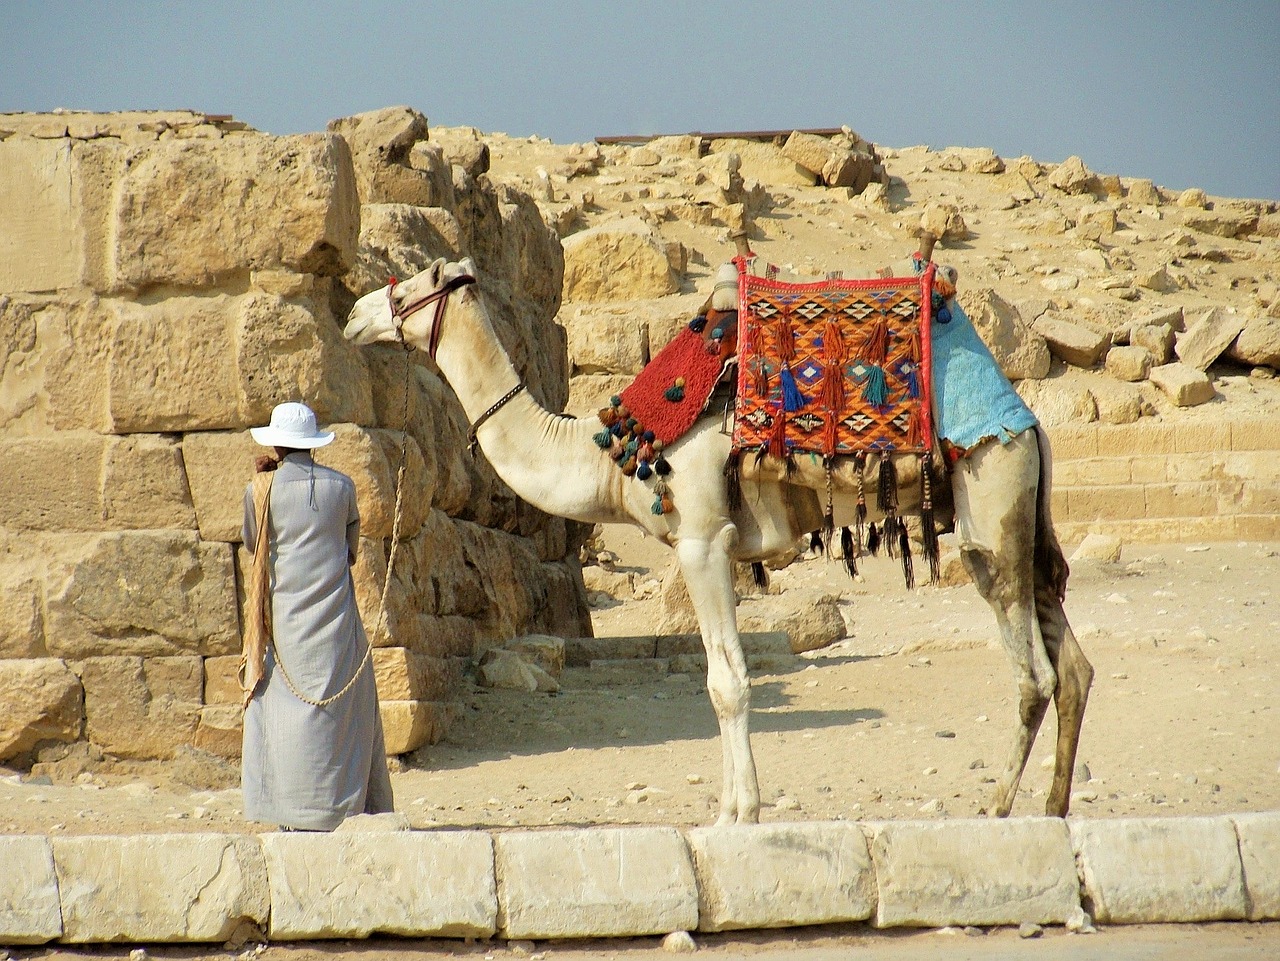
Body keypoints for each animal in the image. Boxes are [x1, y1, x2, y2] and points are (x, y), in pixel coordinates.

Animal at [345, 255, 1095, 829]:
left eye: (410, 288)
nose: (354, 314)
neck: (612, 452)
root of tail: (1029, 422)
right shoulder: (720, 547)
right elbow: (724, 675)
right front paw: (736, 806)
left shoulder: (702, 539)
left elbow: (725, 682)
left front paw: (738, 813)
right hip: (1022, 521)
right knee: (1073, 666)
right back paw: (1054, 806)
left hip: (992, 501)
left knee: (1034, 672)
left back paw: (998, 808)